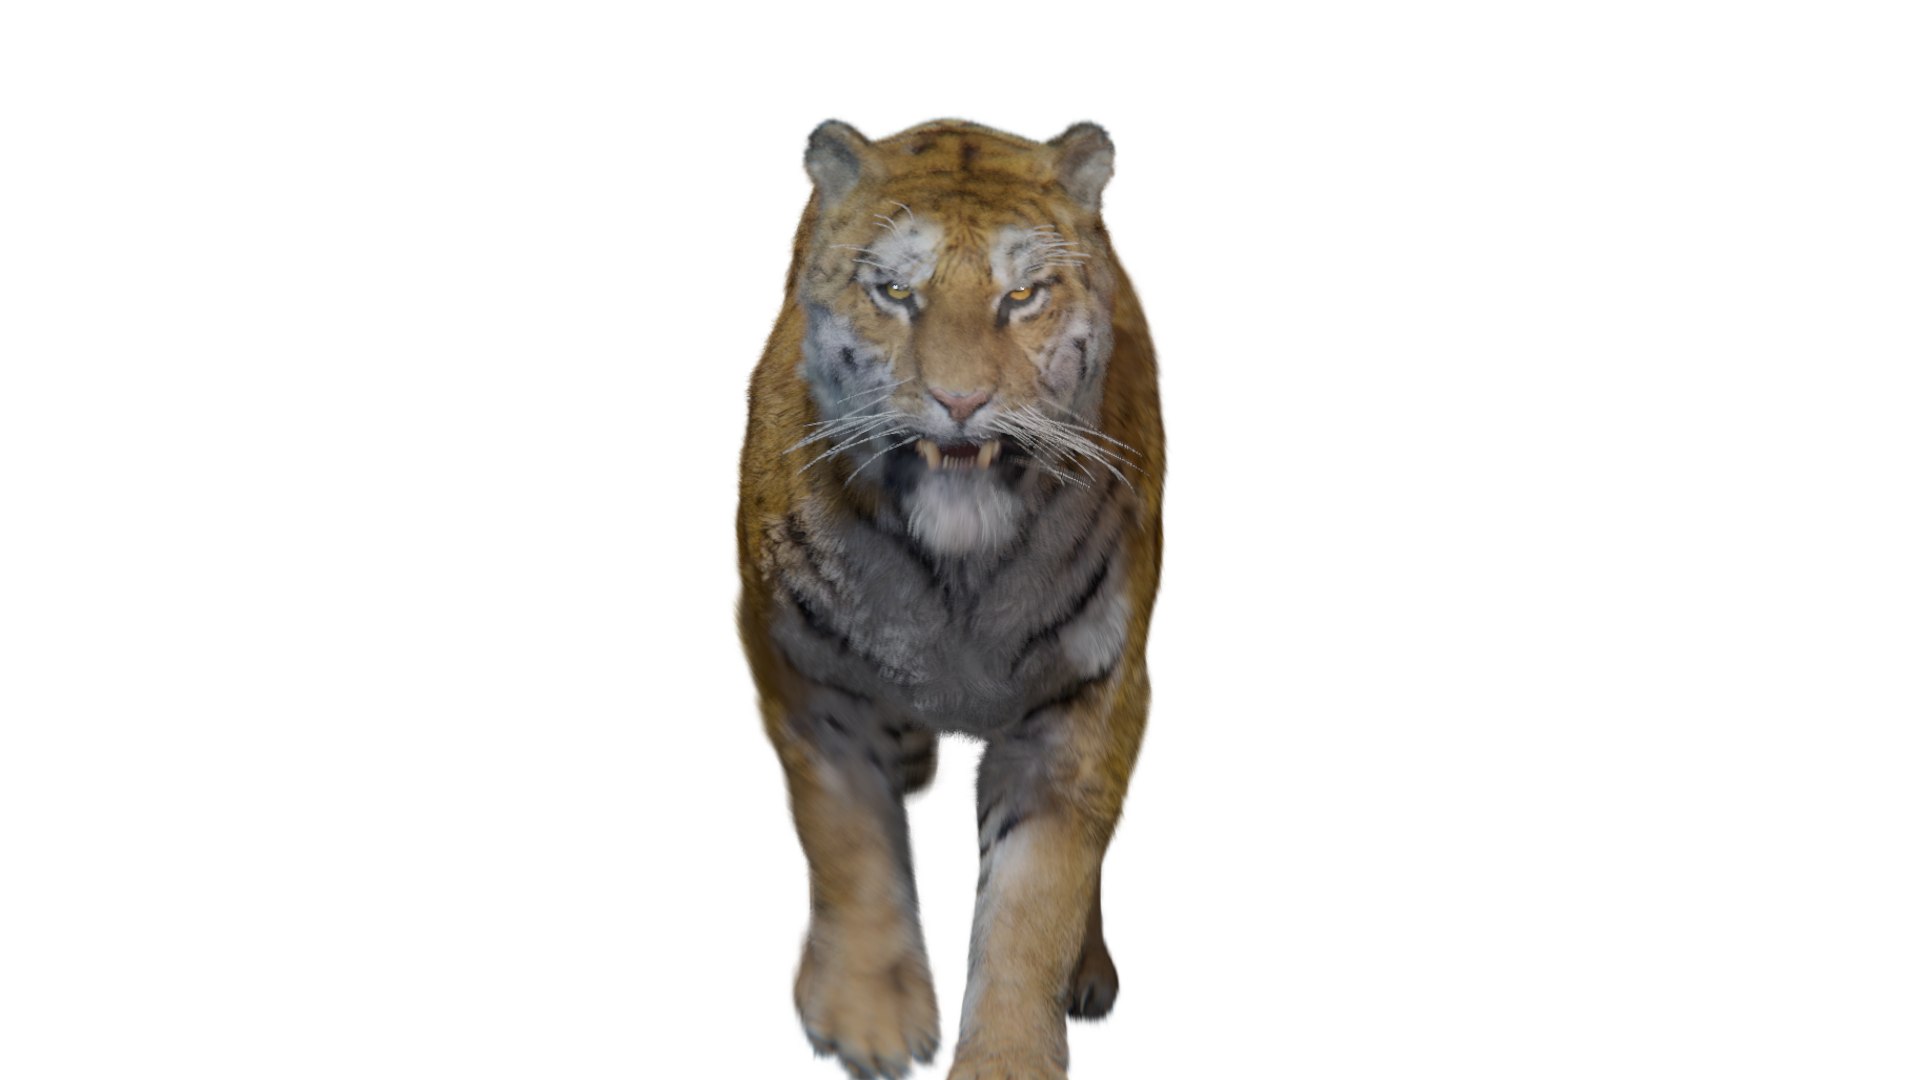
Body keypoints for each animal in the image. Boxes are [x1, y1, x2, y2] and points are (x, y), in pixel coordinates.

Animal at [736, 118, 1165, 1080]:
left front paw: (1006, 1059)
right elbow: (846, 834)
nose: (961, 401)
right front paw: (866, 1019)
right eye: (897, 291)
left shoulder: (1086, 697)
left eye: (1023, 294)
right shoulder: (808, 673)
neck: (957, 569)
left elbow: (1035, 898)